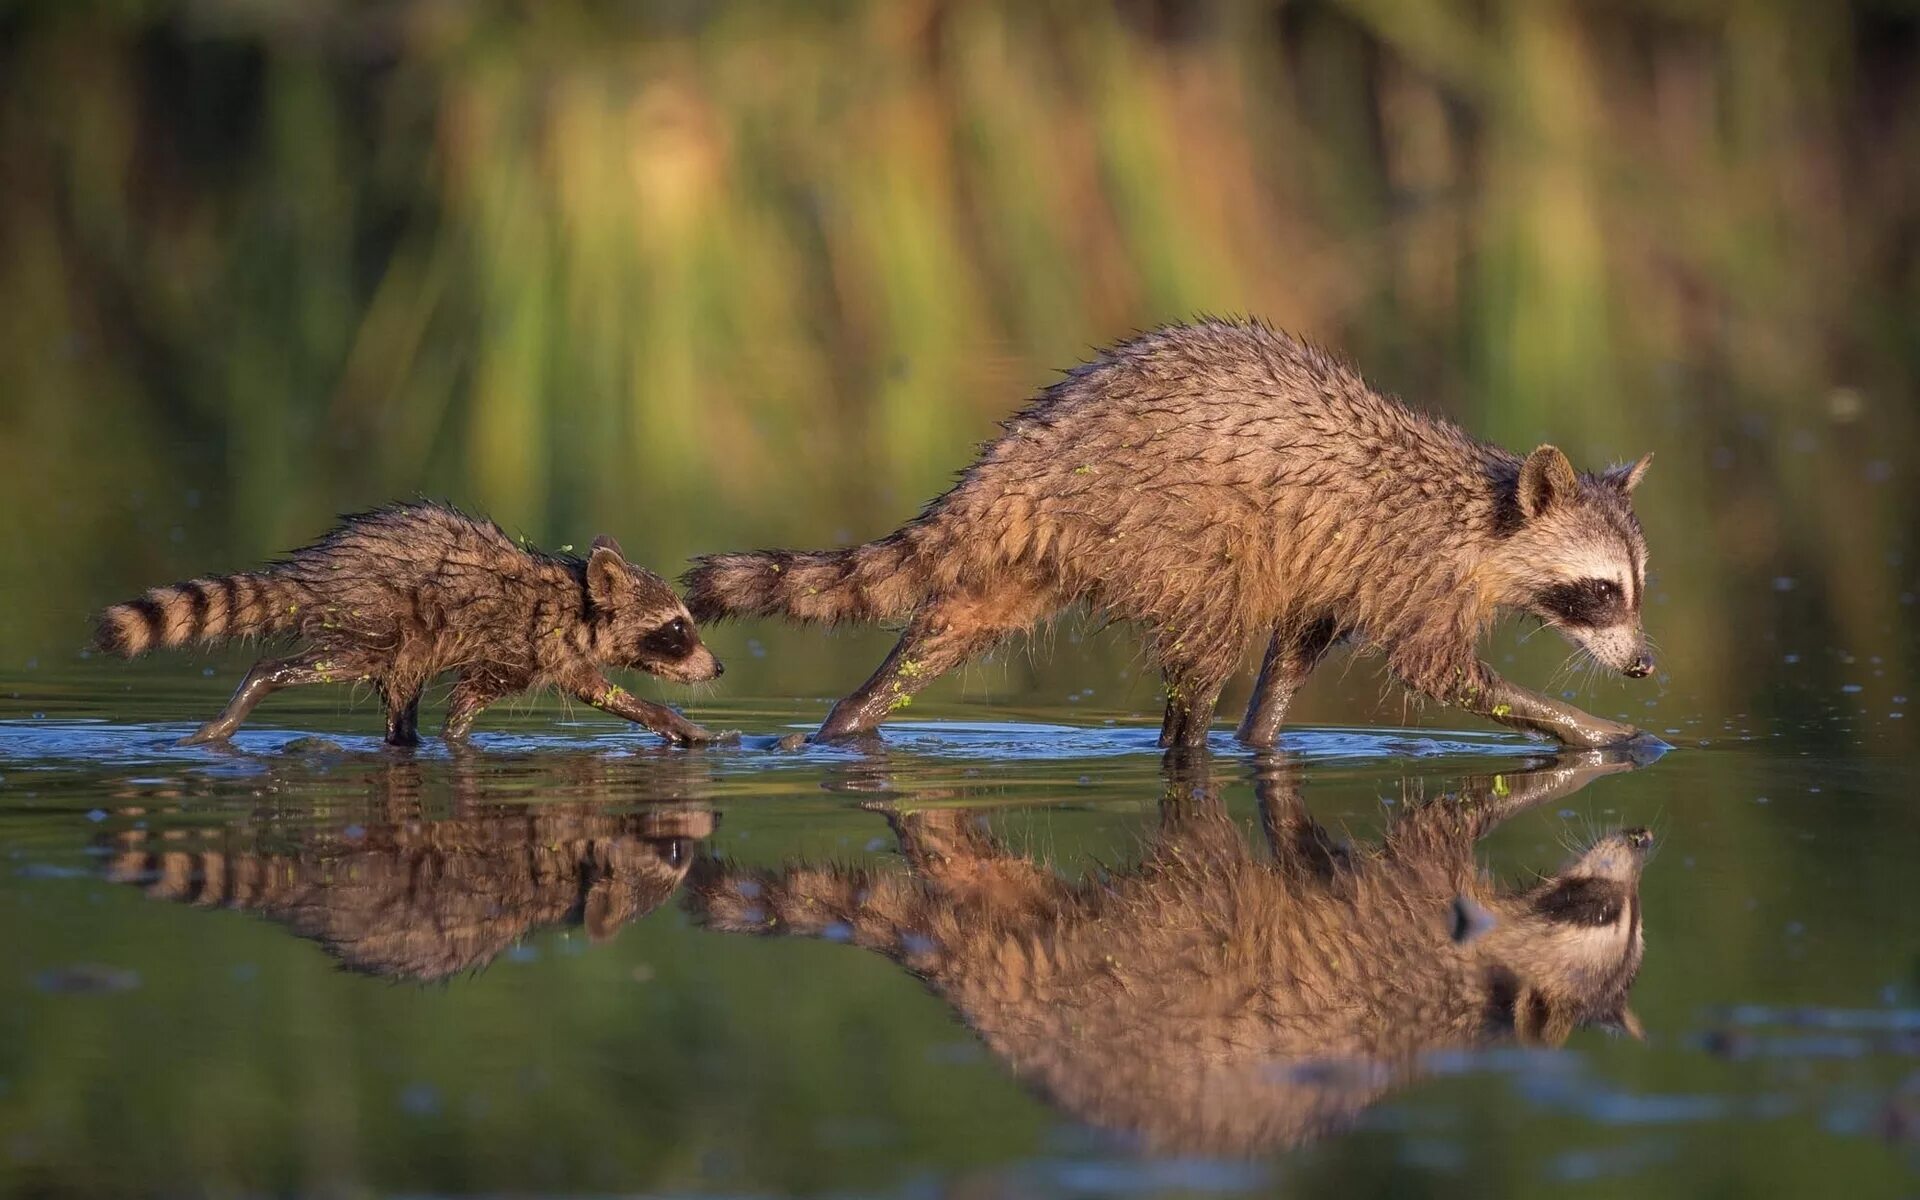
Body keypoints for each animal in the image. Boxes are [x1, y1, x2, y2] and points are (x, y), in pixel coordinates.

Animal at [91, 499, 721, 744]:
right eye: (677, 629)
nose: (717, 668)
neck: (580, 601)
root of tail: (312, 573)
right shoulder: (525, 645)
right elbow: (475, 705)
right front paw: (674, 720)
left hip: (403, 645)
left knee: (400, 703)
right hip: (375, 621)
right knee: (304, 666)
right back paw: (253, 689)